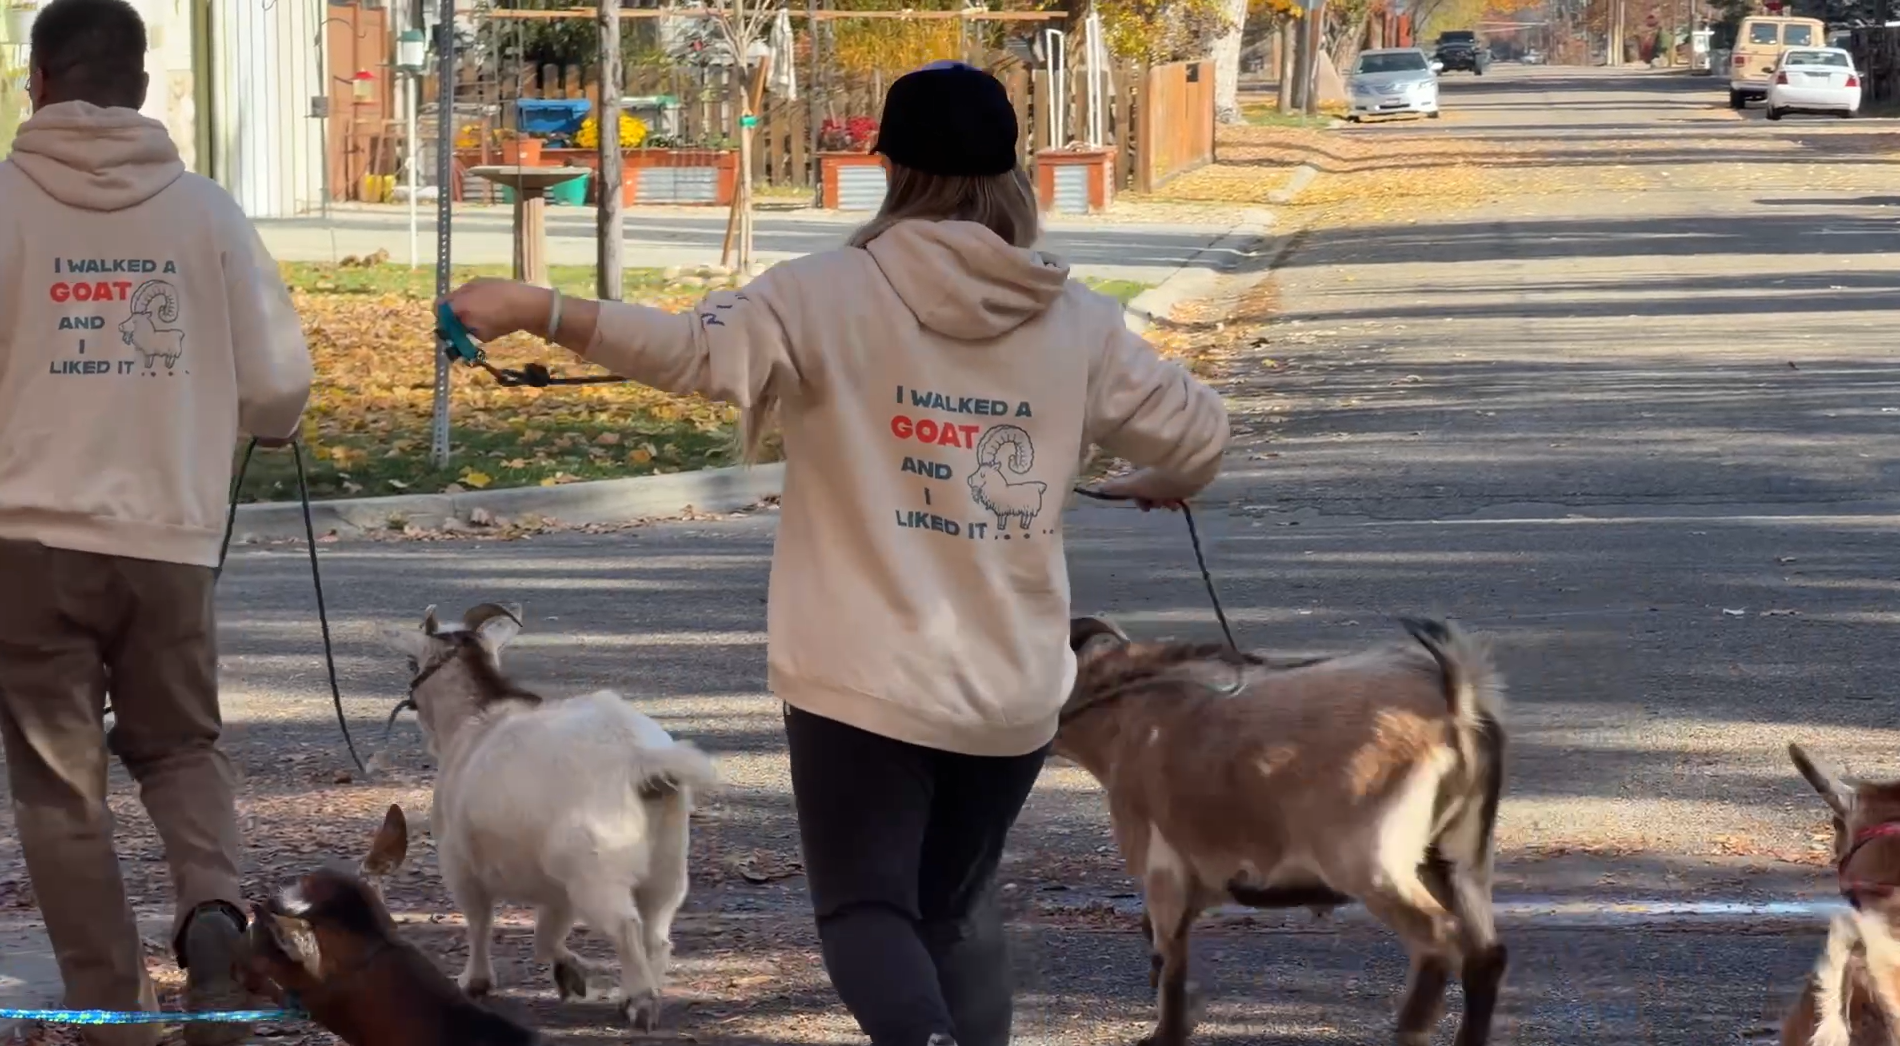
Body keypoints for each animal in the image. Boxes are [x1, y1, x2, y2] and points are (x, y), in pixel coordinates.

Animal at [379, 602, 718, 1029]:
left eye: (411, 662)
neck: (476, 718)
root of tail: (639, 757)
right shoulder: (556, 889)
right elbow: (546, 936)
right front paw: (572, 973)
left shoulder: (460, 864)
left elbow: (479, 921)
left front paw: (475, 981)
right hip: (666, 862)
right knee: (657, 932)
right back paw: (635, 991)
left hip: (596, 866)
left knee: (626, 926)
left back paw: (640, 1001)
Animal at [1055, 615, 1509, 1046]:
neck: (1131, 714)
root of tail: (1456, 704)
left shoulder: (1162, 865)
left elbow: (1169, 955)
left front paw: (1167, 1032)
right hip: (1458, 858)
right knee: (1485, 955)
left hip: (1373, 864)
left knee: (1438, 937)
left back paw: (1410, 1029)